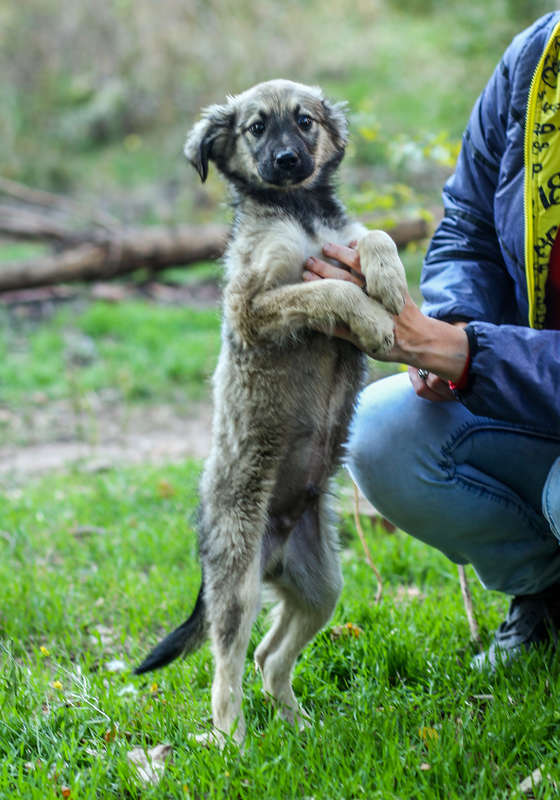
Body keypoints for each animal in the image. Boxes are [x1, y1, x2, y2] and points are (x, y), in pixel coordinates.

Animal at [136, 78, 406, 748]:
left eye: (304, 121)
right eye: (256, 128)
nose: (286, 161)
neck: (299, 210)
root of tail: (276, 543)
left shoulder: (339, 239)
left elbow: (374, 235)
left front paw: (390, 281)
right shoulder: (255, 304)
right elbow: (329, 290)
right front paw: (375, 319)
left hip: (321, 584)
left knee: (268, 656)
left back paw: (300, 723)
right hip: (237, 584)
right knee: (226, 671)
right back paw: (234, 744)